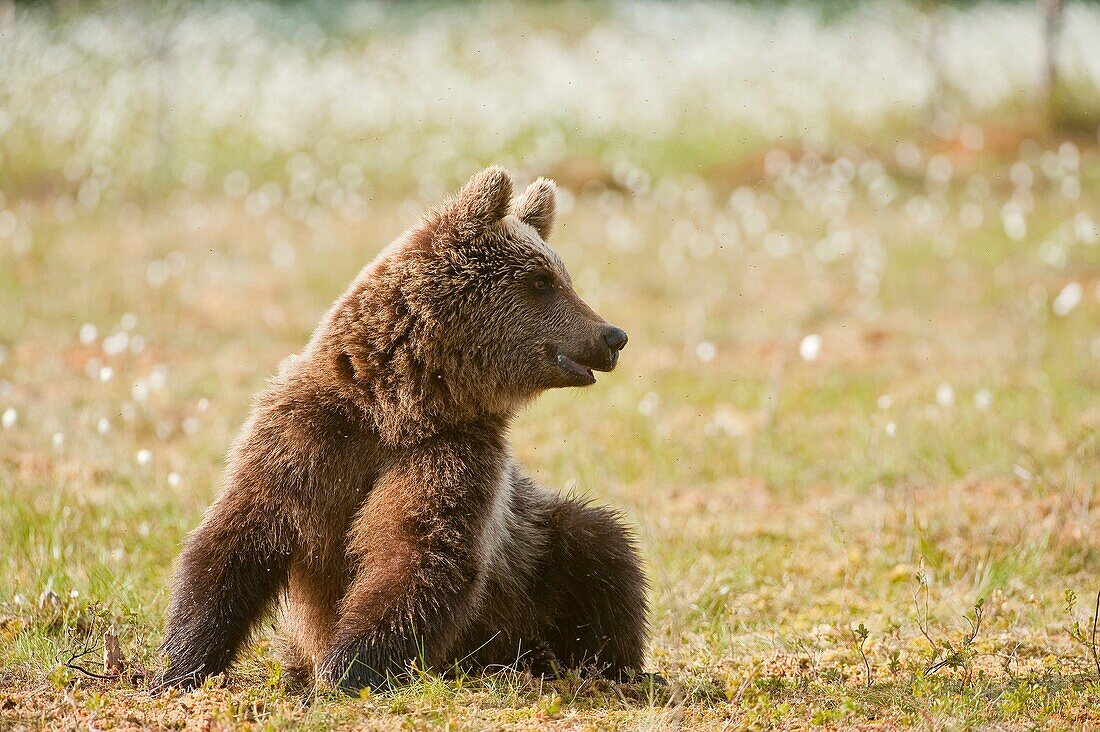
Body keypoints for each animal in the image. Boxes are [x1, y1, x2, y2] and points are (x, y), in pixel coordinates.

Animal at [157, 164, 651, 691]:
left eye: (561, 276)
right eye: (542, 281)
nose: (612, 335)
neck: (398, 408)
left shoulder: (451, 454)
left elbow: (417, 552)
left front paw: (347, 669)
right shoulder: (307, 436)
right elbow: (239, 535)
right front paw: (182, 664)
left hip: (534, 553)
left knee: (602, 550)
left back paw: (603, 665)